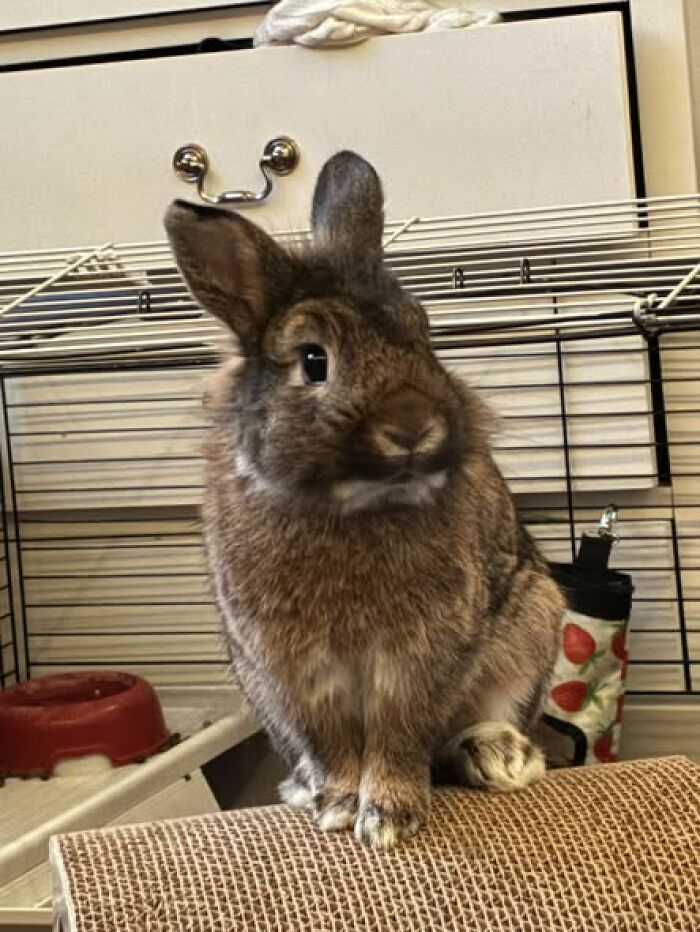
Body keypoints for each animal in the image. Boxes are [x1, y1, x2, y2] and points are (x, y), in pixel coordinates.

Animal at [164, 150, 564, 850]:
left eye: (424, 335)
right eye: (313, 361)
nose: (412, 426)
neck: (351, 502)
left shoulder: (422, 656)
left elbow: (400, 733)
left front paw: (388, 818)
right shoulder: (288, 668)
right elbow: (330, 743)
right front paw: (338, 804)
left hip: (534, 620)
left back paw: (498, 755)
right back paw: (303, 788)